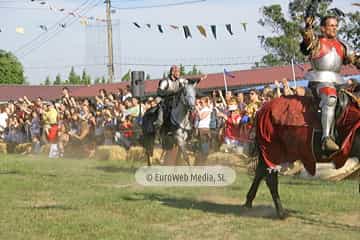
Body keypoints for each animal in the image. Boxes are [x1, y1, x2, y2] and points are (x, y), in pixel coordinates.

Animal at [245, 88, 360, 219]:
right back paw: (281, 212)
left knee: (259, 173)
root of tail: (261, 111)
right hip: (272, 151)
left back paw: (248, 202)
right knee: (271, 179)